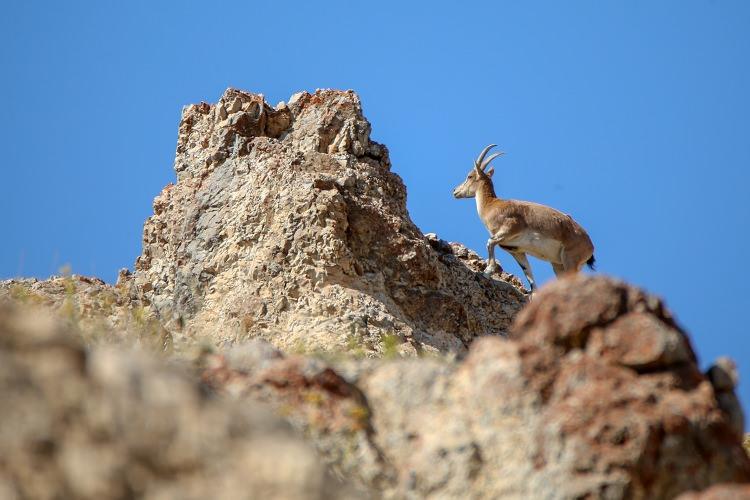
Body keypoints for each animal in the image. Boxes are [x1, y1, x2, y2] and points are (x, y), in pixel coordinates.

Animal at [456, 145, 596, 292]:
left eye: (469, 176)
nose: (455, 191)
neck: (491, 206)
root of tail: (590, 246)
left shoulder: (509, 230)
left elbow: (489, 242)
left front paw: (487, 271)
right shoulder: (516, 249)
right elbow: (529, 276)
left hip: (570, 259)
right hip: (558, 264)